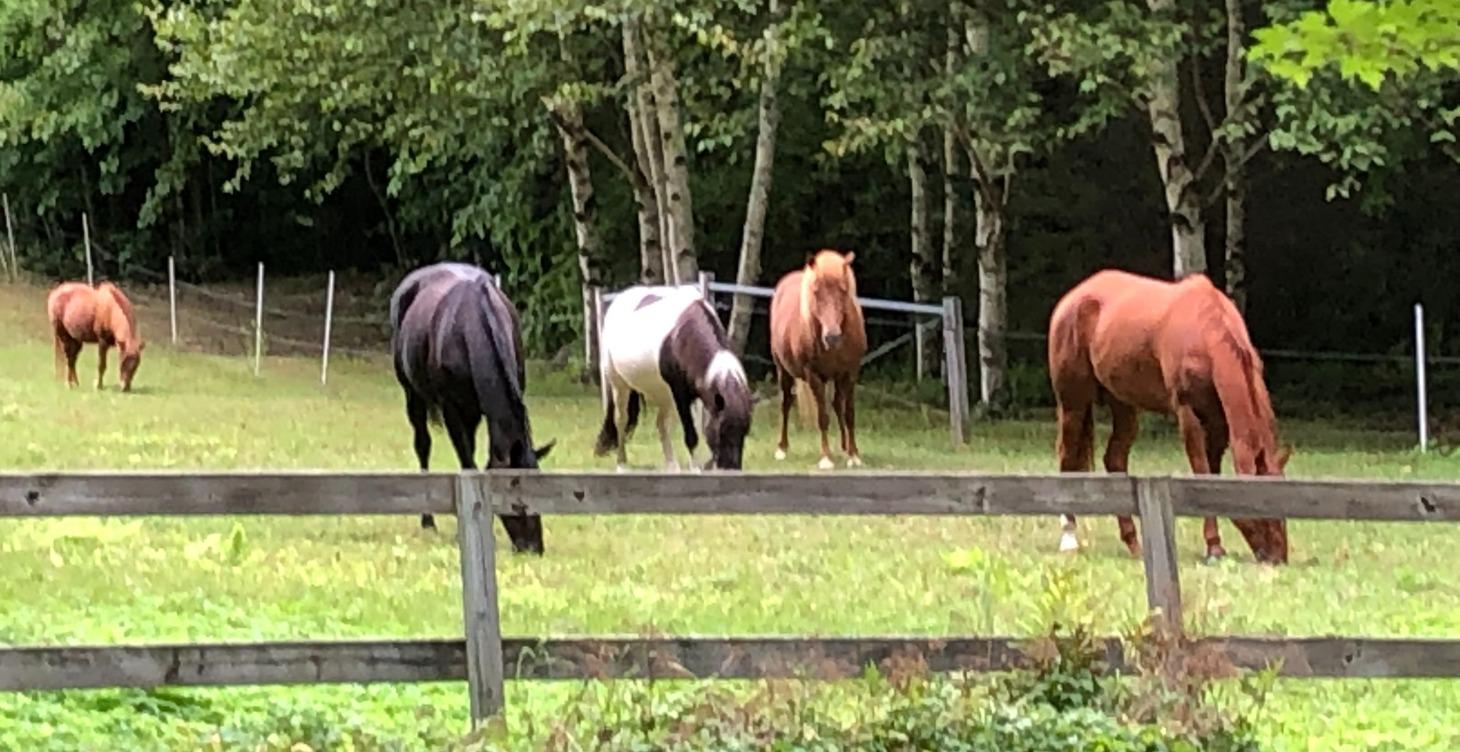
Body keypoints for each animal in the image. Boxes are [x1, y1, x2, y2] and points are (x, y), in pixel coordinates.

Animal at [390, 262, 554, 553]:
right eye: (515, 499)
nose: (534, 548)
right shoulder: (453, 410)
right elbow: (468, 464)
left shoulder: (479, 410)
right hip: (413, 396)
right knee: (423, 445)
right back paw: (427, 520)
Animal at [594, 285, 753, 471]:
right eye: (721, 431)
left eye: (745, 431)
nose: (731, 468)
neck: (683, 337)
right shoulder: (681, 394)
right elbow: (691, 434)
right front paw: (696, 469)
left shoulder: (700, 394)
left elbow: (698, 428)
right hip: (619, 384)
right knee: (621, 420)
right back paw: (622, 464)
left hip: (664, 395)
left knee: (661, 424)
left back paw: (672, 466)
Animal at [769, 249, 867, 470]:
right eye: (816, 292)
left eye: (844, 290)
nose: (832, 337)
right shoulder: (814, 376)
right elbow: (823, 417)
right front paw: (826, 458)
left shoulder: (850, 373)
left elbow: (849, 413)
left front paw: (854, 455)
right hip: (783, 370)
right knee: (785, 403)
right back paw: (781, 448)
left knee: (837, 404)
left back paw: (844, 447)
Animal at [1047, 269, 1289, 564]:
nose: (1278, 557)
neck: (1204, 332)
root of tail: (1073, 297)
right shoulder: (1188, 413)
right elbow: (1201, 470)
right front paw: (1214, 547)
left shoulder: (1218, 422)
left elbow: (1212, 471)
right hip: (1073, 402)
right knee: (1067, 457)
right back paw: (1069, 538)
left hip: (1123, 404)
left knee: (1114, 459)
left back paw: (1134, 544)